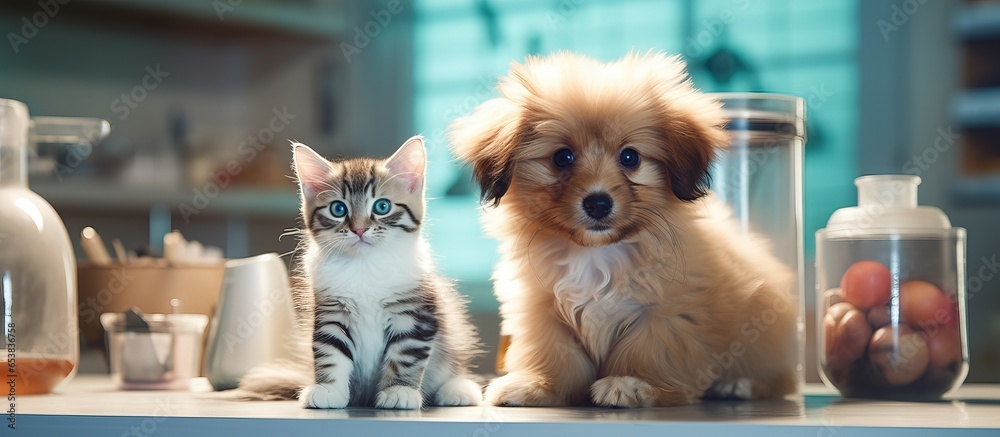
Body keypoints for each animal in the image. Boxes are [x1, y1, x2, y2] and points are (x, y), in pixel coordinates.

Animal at [240, 137, 482, 408]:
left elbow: (405, 356)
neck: (365, 264)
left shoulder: (415, 314)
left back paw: (457, 389)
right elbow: (330, 353)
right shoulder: (331, 312)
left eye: (382, 206)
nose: (358, 229)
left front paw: (399, 391)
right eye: (338, 209)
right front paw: (329, 389)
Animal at [450, 52, 800, 408]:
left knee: (778, 379)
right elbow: (553, 353)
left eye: (630, 157)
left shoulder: (668, 312)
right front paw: (536, 384)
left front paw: (631, 383)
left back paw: (738, 385)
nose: (598, 203)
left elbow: (646, 350)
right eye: (562, 157)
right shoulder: (542, 311)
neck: (596, 254)